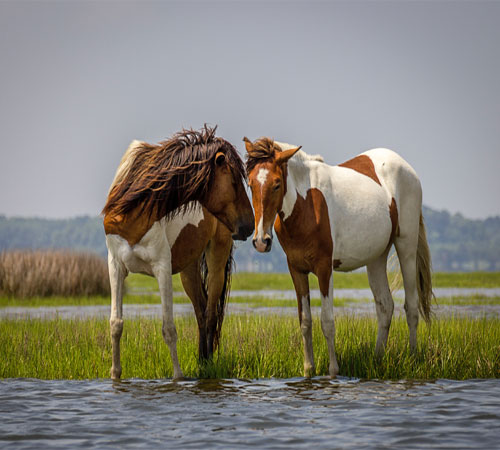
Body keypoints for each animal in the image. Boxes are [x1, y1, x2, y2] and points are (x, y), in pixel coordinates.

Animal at [101, 126, 254, 380]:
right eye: (234, 181)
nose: (249, 225)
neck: (134, 209)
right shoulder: (116, 266)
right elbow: (116, 323)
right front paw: (115, 375)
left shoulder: (162, 268)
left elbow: (169, 328)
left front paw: (178, 377)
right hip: (188, 270)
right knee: (201, 312)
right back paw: (202, 361)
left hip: (217, 257)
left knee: (211, 314)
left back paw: (208, 365)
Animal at [244, 135, 432, 378]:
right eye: (250, 184)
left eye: (277, 184)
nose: (261, 241)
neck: (305, 205)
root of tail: (407, 168)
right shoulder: (296, 269)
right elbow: (305, 321)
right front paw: (308, 370)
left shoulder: (325, 269)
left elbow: (327, 322)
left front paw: (333, 371)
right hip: (377, 257)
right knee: (385, 306)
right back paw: (377, 359)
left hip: (406, 247)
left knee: (411, 307)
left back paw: (413, 357)